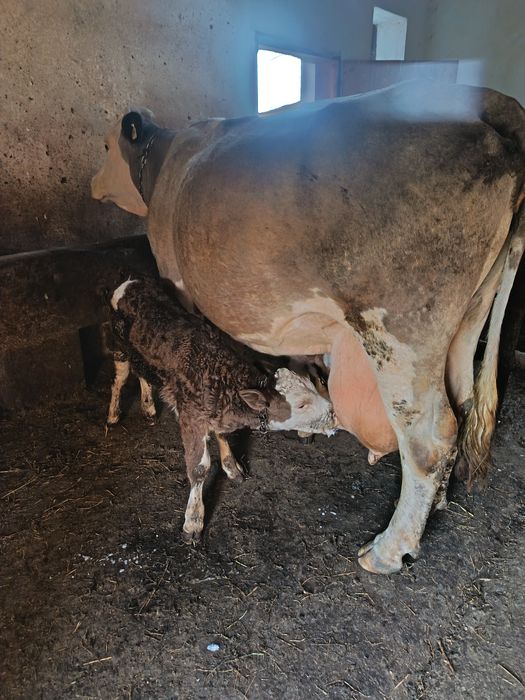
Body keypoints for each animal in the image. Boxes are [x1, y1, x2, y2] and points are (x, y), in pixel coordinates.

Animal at [107, 277, 337, 541]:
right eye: (300, 404)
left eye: (312, 385)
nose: (334, 413)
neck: (219, 370)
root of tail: (131, 281)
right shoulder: (191, 417)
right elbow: (199, 468)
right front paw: (193, 521)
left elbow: (223, 435)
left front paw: (232, 468)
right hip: (119, 347)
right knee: (121, 378)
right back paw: (113, 415)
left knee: (142, 374)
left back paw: (149, 409)